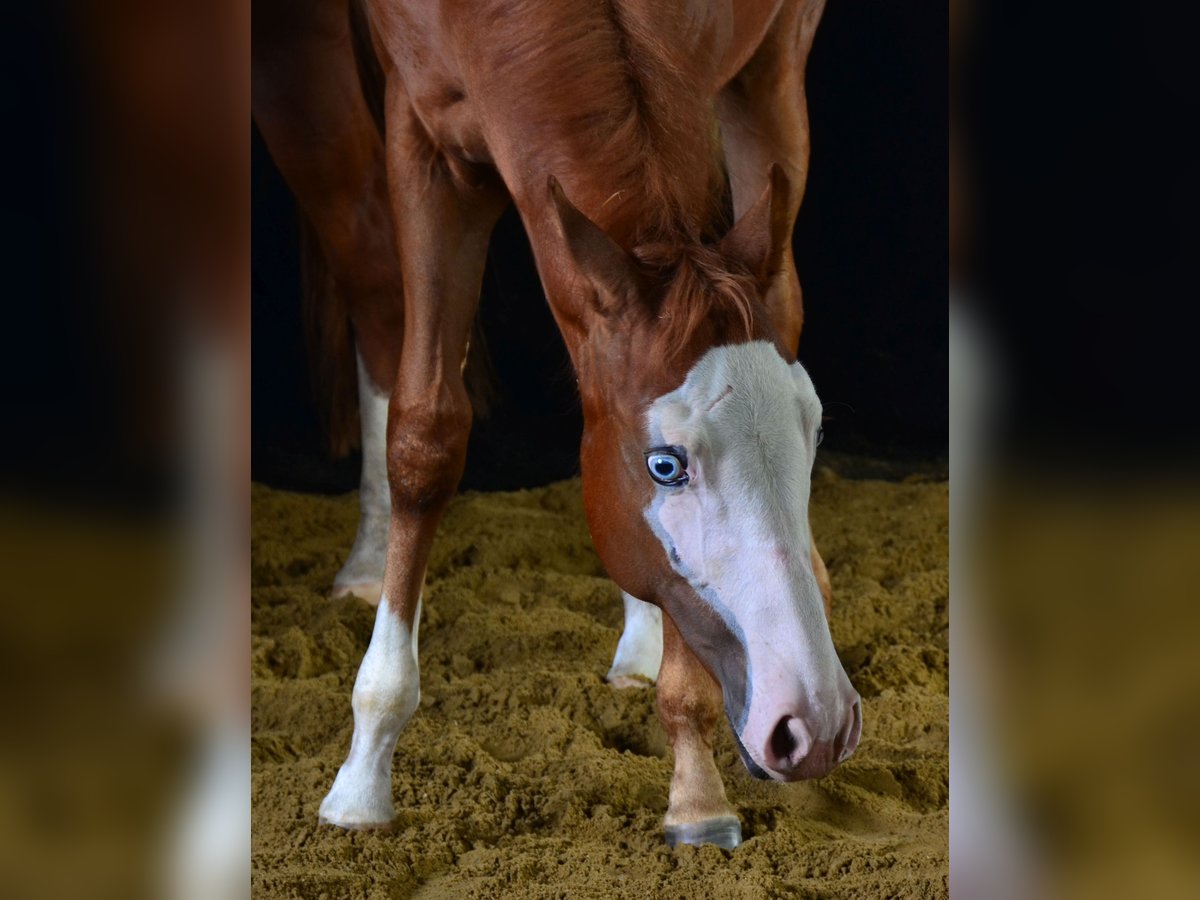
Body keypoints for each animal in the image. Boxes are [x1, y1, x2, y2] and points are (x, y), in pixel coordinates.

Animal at [253, 0, 861, 850]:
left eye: (816, 436)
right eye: (665, 465)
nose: (816, 724)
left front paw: (695, 787)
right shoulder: (427, 142)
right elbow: (426, 435)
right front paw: (363, 778)